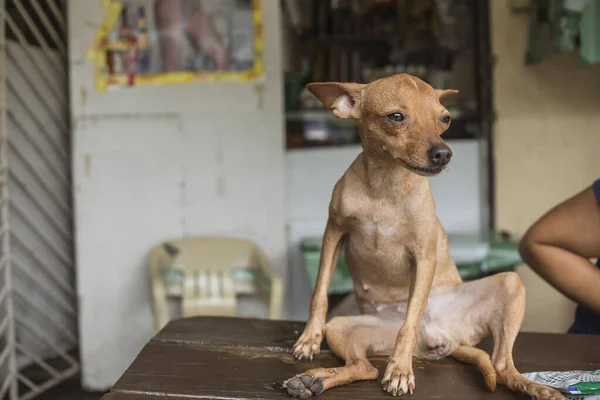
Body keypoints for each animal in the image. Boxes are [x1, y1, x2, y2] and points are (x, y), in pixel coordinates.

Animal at [284, 73, 564, 398]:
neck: (385, 187)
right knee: (364, 368)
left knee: (503, 365)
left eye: (445, 119)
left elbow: (410, 320)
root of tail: (445, 339)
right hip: (341, 327)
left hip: (510, 282)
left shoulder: (424, 257)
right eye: (396, 117)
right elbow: (319, 293)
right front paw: (309, 339)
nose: (444, 153)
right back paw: (313, 380)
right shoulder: (333, 233)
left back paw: (536, 387)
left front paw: (400, 370)